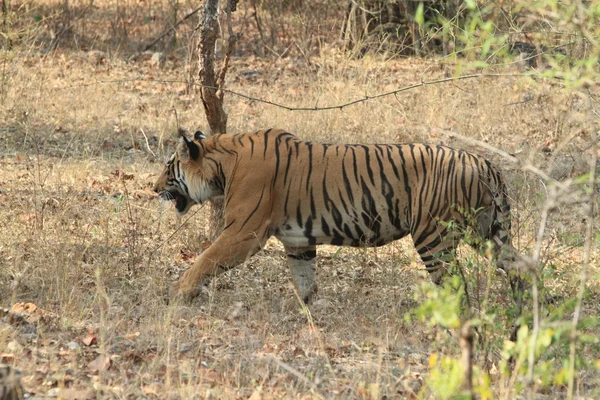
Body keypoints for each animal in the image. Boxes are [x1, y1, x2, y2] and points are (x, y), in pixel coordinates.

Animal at [152, 130, 512, 302]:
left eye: (169, 167)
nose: (153, 188)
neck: (224, 163)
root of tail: (486, 163)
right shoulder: (298, 241)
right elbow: (304, 278)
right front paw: (305, 309)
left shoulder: (243, 233)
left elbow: (205, 260)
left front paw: (178, 293)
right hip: (491, 233)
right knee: (520, 270)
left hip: (433, 238)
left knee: (454, 287)